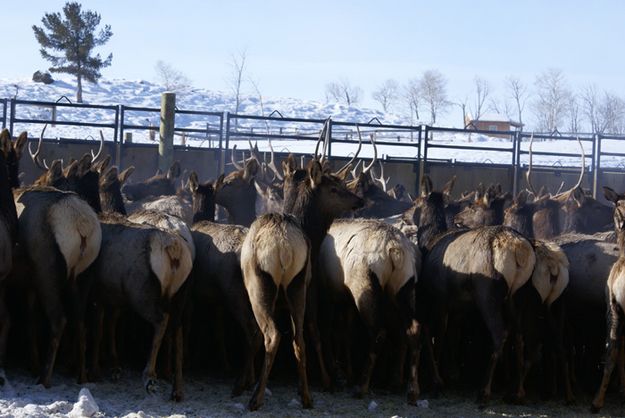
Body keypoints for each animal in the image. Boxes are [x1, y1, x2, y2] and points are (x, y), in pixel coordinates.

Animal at [320, 220, 422, 404]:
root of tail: (394, 249)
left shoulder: (331, 294)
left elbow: (333, 331)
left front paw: (341, 374)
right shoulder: (345, 301)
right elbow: (346, 333)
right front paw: (348, 374)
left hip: (364, 284)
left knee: (379, 331)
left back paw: (362, 386)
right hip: (404, 285)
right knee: (411, 329)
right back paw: (407, 388)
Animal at [412, 176, 532, 404]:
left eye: (414, 202)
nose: (405, 215)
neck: (430, 241)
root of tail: (517, 249)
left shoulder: (440, 296)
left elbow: (437, 334)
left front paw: (437, 381)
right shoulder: (460, 304)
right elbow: (453, 335)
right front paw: (451, 375)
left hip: (487, 292)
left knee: (500, 332)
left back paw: (484, 391)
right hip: (516, 295)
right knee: (520, 334)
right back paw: (518, 391)